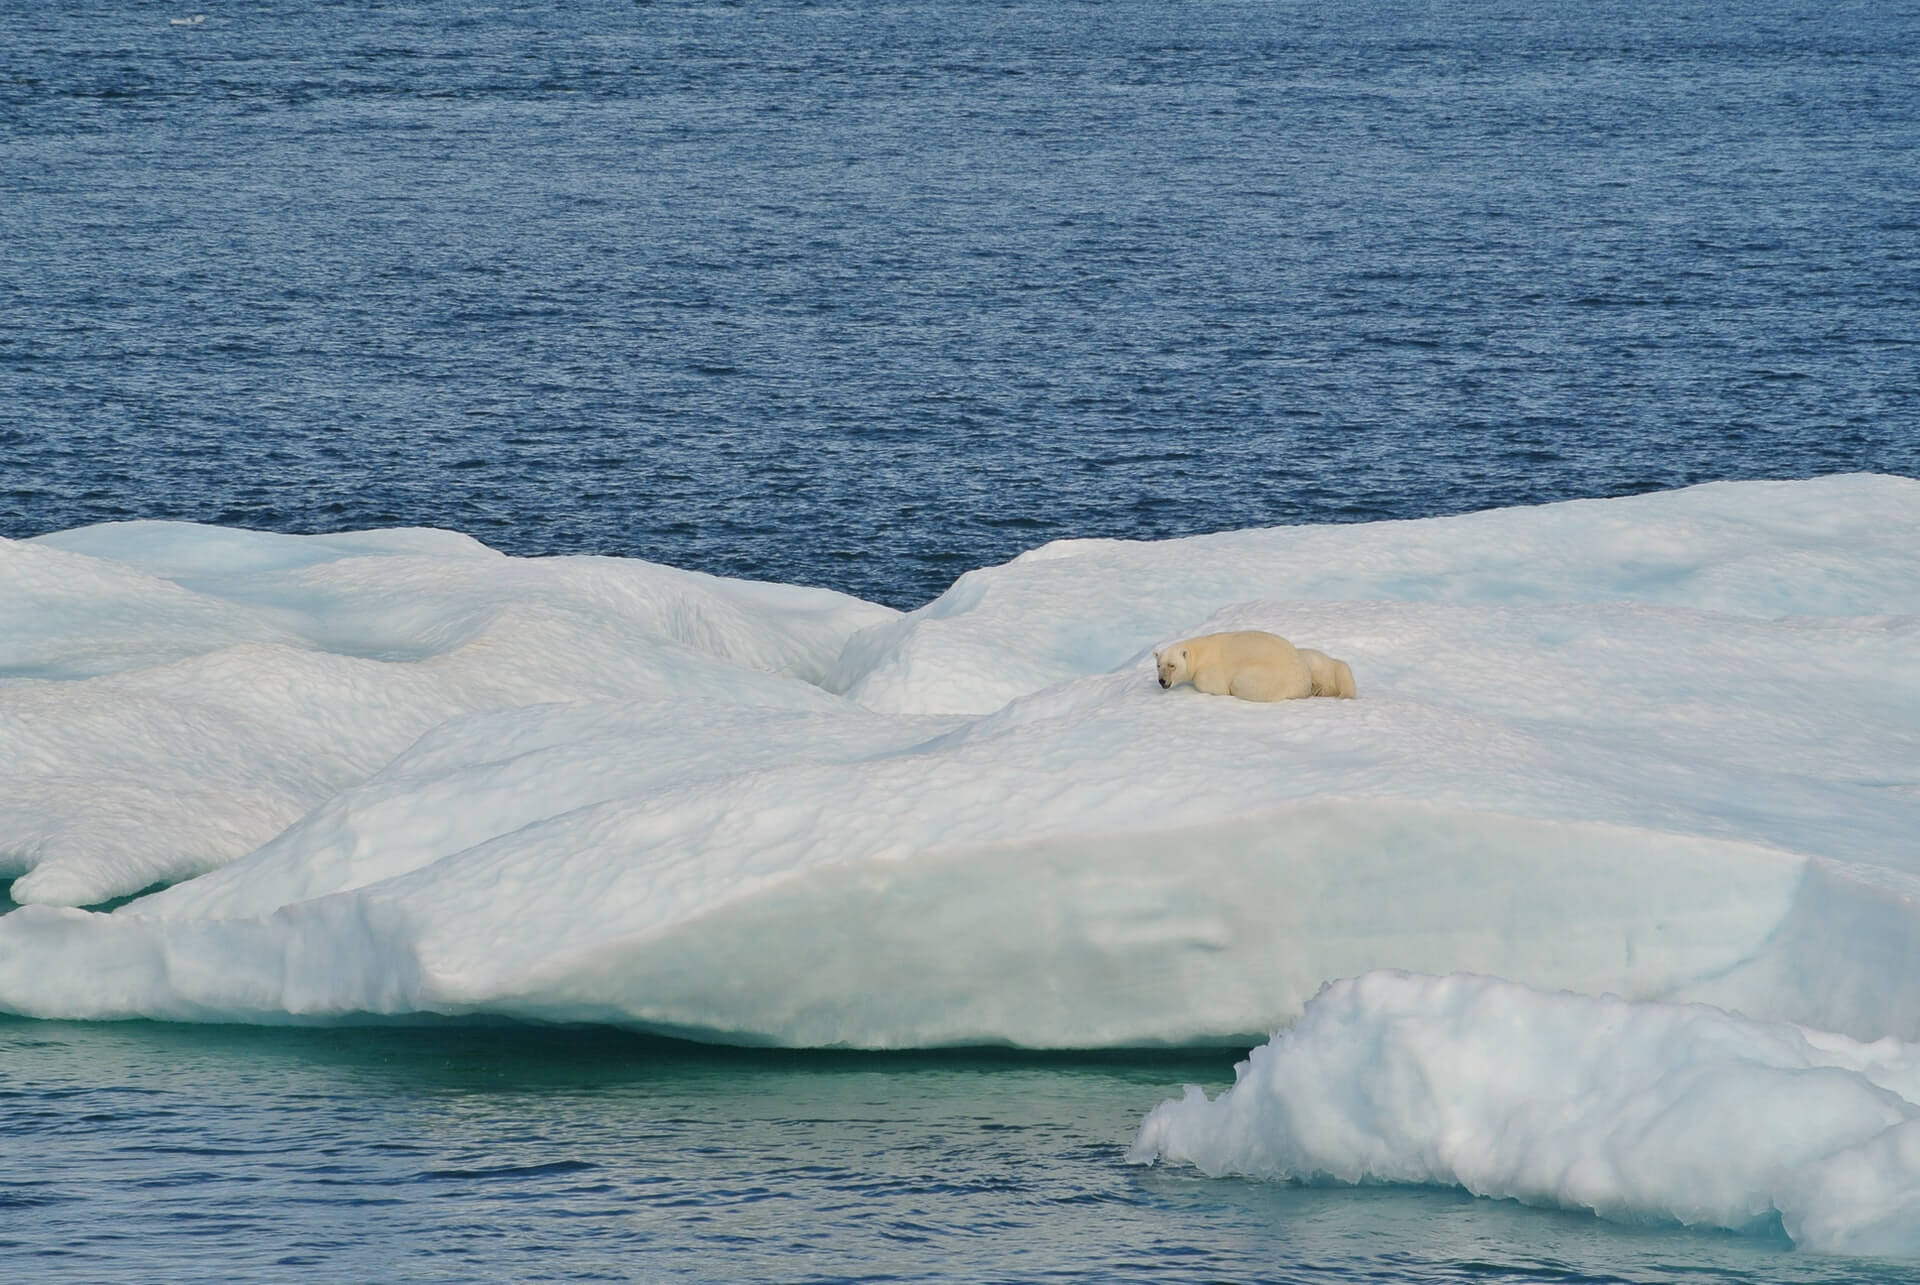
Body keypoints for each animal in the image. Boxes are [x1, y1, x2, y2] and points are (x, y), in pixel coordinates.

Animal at [1153, 630, 1357, 702]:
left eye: (1172, 665)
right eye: (1158, 665)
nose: (1162, 681)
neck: (1200, 651)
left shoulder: (1209, 671)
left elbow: (1214, 686)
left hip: (1266, 679)